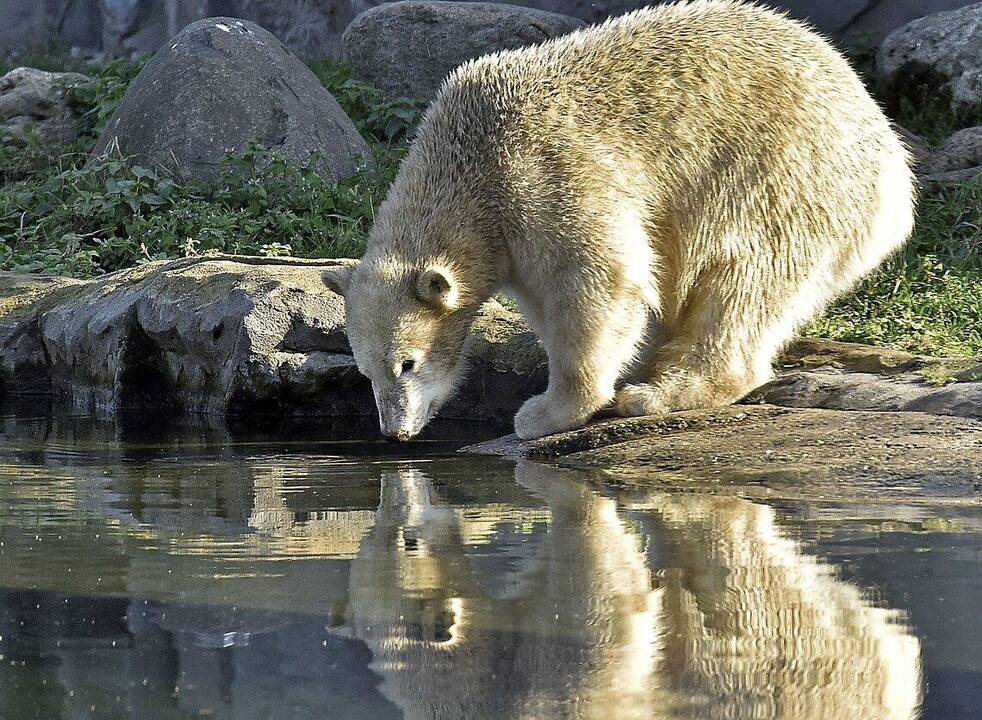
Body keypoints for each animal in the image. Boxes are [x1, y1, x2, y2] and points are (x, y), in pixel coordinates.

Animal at [326, 0, 920, 442]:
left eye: (407, 364)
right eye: (365, 372)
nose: (395, 431)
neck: (469, 156)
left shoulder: (541, 175)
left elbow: (596, 279)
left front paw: (546, 411)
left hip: (780, 176)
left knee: (744, 277)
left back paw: (659, 392)